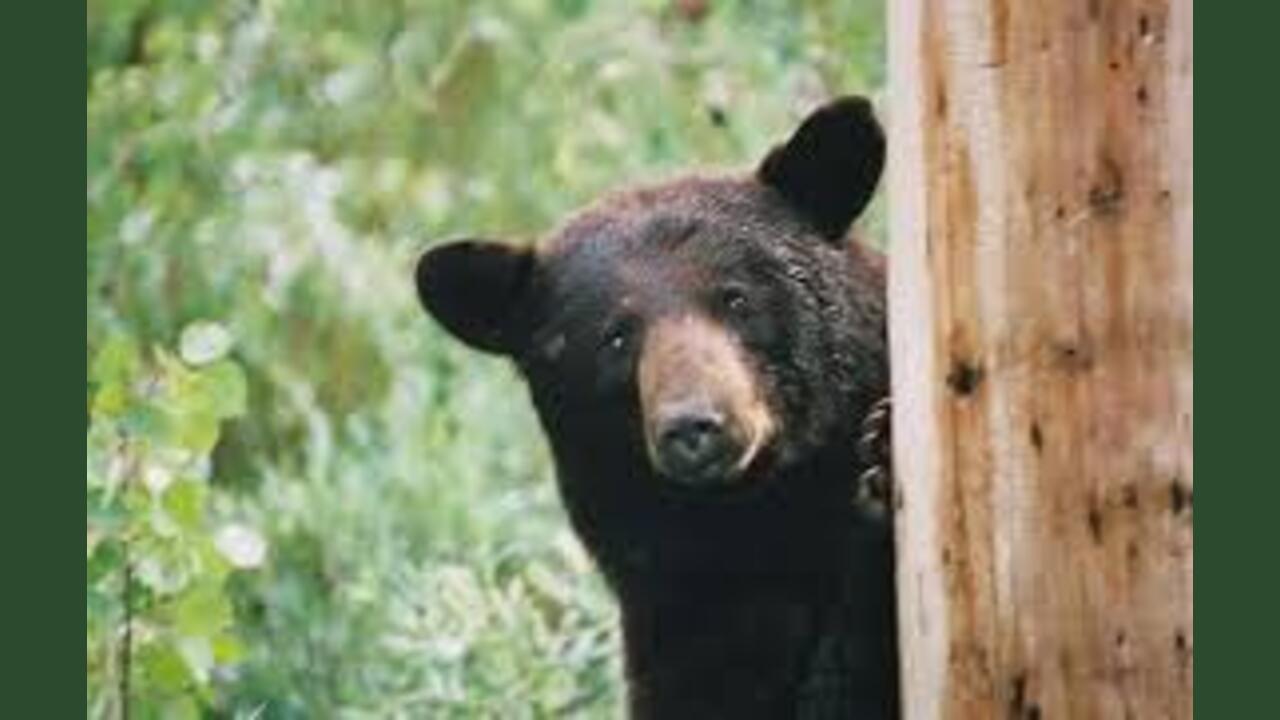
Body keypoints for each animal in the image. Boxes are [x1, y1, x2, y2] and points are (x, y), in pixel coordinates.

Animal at [414, 96, 898, 719]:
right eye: (615, 337)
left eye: (736, 298)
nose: (694, 427)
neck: (759, 520)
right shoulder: (681, 618)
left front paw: (883, 455)